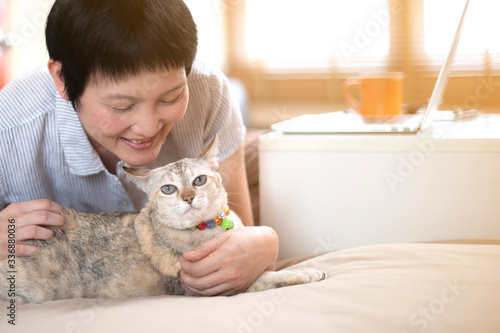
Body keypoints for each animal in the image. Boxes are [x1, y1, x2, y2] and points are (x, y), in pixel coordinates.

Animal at [0, 134, 326, 302]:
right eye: (168, 188)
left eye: (199, 180)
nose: (188, 198)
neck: (211, 228)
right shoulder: (199, 288)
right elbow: (265, 277)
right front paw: (305, 272)